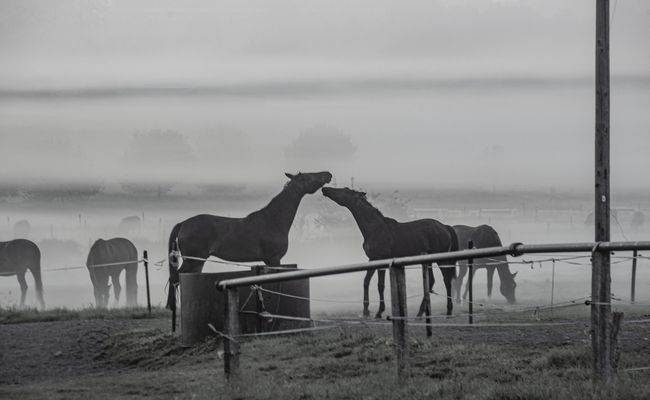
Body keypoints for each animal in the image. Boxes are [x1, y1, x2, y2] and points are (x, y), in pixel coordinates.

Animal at [166, 171, 332, 310]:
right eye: (309, 176)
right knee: (175, 278)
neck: (273, 221)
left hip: (197, 262)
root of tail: (183, 223)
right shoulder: (274, 259)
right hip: (192, 261)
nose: (328, 174)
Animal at [321, 187, 458, 318]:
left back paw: (448, 311)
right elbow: (366, 282)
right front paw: (366, 311)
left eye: (345, 191)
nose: (325, 189)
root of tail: (445, 227)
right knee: (431, 281)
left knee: (446, 280)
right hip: (428, 260)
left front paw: (379, 312)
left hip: (441, 260)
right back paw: (420, 312)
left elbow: (380, 285)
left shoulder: (381, 260)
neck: (375, 229)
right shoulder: (372, 259)